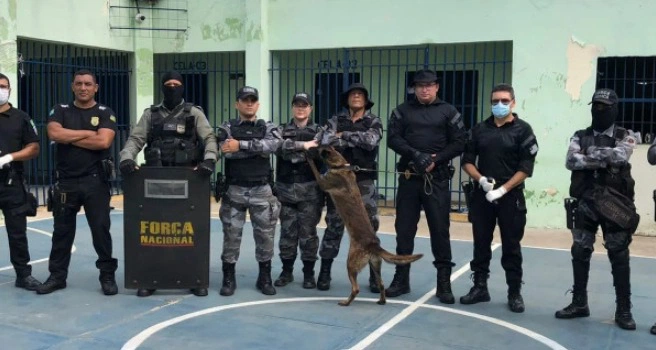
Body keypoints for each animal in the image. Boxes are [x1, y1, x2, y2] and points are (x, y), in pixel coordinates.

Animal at [306, 146, 422, 304]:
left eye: (317, 148)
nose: (310, 148)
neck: (341, 166)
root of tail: (374, 245)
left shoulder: (323, 182)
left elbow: (314, 169)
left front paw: (308, 158)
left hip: (351, 263)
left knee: (356, 289)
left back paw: (345, 302)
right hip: (375, 265)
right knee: (381, 284)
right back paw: (381, 300)